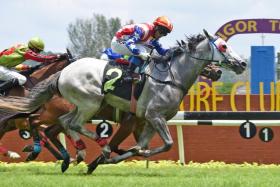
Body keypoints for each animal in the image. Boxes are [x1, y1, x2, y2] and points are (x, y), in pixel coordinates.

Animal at [0, 30, 246, 172]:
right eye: (223, 46)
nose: (242, 64)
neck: (170, 77)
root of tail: (62, 73)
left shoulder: (149, 120)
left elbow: (144, 146)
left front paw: (116, 158)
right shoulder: (150, 117)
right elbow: (165, 144)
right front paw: (104, 157)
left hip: (81, 106)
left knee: (64, 123)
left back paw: (75, 155)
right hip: (90, 103)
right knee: (64, 124)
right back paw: (95, 147)